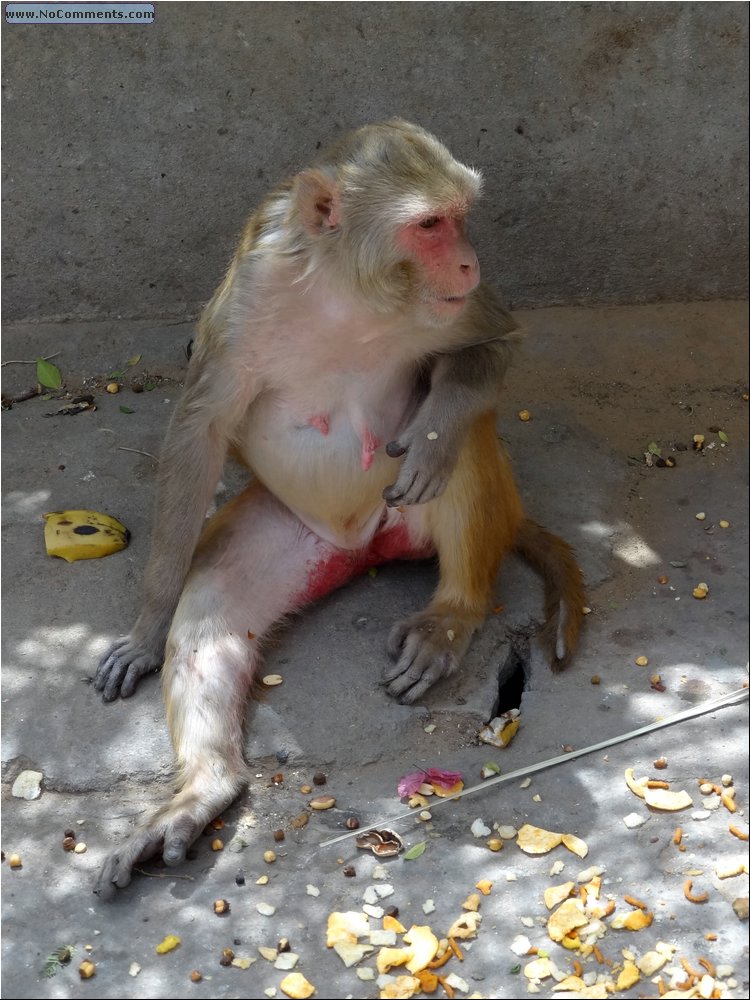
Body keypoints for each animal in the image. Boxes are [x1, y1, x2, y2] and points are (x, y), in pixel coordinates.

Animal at [94, 119, 588, 900]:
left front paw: (432, 436)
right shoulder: (250, 295)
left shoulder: (453, 310)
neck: (346, 290)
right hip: (298, 531)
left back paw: (452, 612)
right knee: (213, 607)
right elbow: (200, 430)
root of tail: (367, 543)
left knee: (466, 435)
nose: (469, 260)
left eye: (460, 215)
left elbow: (496, 343)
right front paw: (146, 630)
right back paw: (203, 787)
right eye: (430, 225)